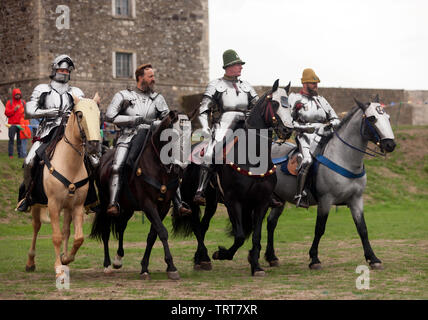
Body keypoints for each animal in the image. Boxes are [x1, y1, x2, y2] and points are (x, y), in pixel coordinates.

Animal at [24, 92, 101, 278]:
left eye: (98, 115)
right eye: (80, 115)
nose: (94, 146)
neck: (69, 163)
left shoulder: (77, 206)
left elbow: (78, 237)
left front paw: (66, 259)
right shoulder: (53, 204)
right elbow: (56, 236)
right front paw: (58, 267)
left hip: (68, 207)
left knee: (66, 229)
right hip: (36, 203)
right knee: (36, 226)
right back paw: (30, 262)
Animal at [90, 110, 187, 280]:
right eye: (171, 137)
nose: (180, 166)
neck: (158, 166)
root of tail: (103, 159)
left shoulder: (162, 206)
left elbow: (153, 235)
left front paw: (145, 267)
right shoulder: (148, 204)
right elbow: (162, 232)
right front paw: (171, 266)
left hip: (127, 208)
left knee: (121, 227)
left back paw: (118, 259)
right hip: (105, 203)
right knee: (106, 230)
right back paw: (107, 265)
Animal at [172, 79, 292, 276]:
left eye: (289, 104)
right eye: (274, 103)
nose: (287, 130)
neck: (252, 156)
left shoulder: (261, 202)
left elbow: (256, 236)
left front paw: (256, 266)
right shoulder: (233, 201)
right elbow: (240, 236)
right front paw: (221, 254)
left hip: (212, 203)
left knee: (203, 226)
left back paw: (201, 260)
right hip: (192, 199)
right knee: (197, 226)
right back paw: (204, 258)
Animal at [266, 97, 396, 270]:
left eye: (388, 117)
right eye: (372, 118)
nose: (390, 144)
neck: (344, 158)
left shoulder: (356, 200)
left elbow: (362, 229)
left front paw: (373, 258)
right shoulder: (325, 201)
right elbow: (319, 229)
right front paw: (314, 259)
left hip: (279, 200)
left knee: (270, 223)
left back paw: (271, 257)